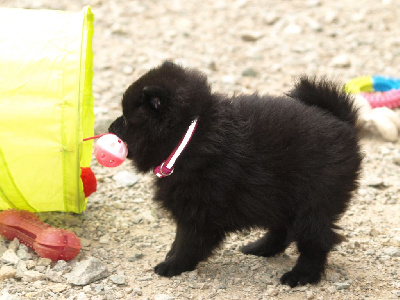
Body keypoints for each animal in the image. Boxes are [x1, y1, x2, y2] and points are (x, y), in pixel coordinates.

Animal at [109, 61, 362, 288]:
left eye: (127, 120)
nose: (110, 128)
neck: (190, 135)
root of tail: (341, 121)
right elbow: (180, 237)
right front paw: (172, 256)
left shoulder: (200, 210)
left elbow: (188, 242)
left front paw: (173, 265)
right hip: (280, 198)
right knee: (283, 230)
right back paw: (260, 248)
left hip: (312, 203)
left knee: (316, 240)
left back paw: (301, 275)